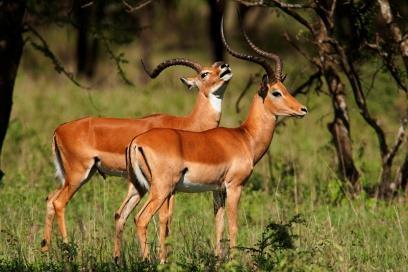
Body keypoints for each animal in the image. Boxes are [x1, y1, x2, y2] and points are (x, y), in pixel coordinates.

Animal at [42, 58, 233, 256]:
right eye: (204, 74)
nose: (224, 66)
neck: (188, 125)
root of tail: (59, 129)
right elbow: (165, 218)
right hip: (78, 174)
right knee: (59, 203)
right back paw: (67, 249)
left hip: (75, 176)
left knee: (50, 199)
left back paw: (45, 250)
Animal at [126, 20, 308, 262]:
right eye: (276, 93)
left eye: (286, 89)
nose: (302, 109)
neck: (245, 137)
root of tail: (137, 141)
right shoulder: (234, 186)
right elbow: (233, 225)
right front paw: (234, 260)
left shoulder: (217, 190)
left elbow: (218, 225)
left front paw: (218, 259)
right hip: (162, 189)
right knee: (141, 219)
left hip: (146, 188)